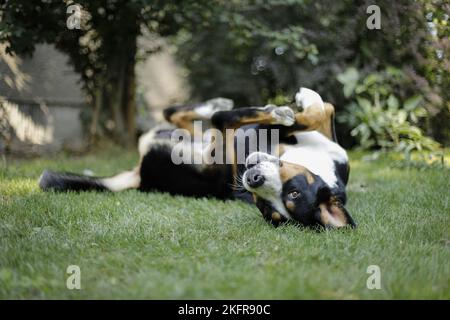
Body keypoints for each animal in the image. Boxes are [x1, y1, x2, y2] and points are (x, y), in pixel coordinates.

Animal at [39, 86, 356, 229]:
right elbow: (323, 111)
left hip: (208, 145)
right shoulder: (326, 143)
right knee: (181, 114)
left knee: (213, 118)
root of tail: (141, 175)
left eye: (267, 208)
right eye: (294, 191)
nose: (252, 178)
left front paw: (288, 109)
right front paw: (304, 100)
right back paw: (216, 102)